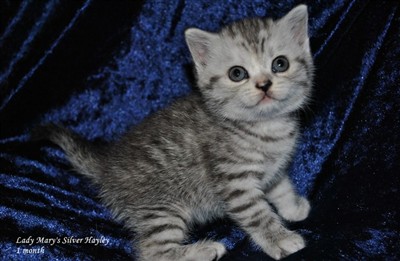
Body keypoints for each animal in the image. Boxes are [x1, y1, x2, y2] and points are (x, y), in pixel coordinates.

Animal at [37, 4, 312, 260]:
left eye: (280, 64)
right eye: (237, 73)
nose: (264, 84)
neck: (264, 126)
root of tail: (107, 165)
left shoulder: (274, 170)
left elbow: (281, 187)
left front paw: (292, 207)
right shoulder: (235, 182)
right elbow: (257, 214)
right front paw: (279, 239)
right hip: (162, 207)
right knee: (154, 252)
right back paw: (204, 250)